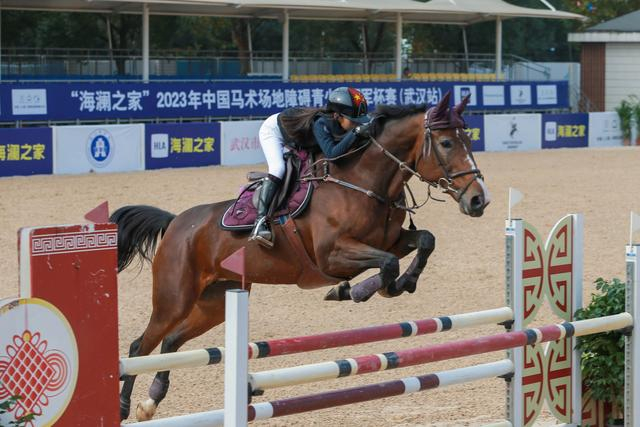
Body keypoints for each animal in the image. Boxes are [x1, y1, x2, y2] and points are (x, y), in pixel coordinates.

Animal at [112, 91, 490, 421]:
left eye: (469, 140)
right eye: (446, 143)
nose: (479, 200)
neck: (364, 181)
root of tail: (176, 222)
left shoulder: (394, 240)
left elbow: (424, 241)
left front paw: (400, 284)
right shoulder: (331, 256)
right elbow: (386, 263)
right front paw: (352, 291)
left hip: (214, 301)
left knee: (172, 340)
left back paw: (151, 400)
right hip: (174, 297)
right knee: (139, 347)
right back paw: (125, 406)